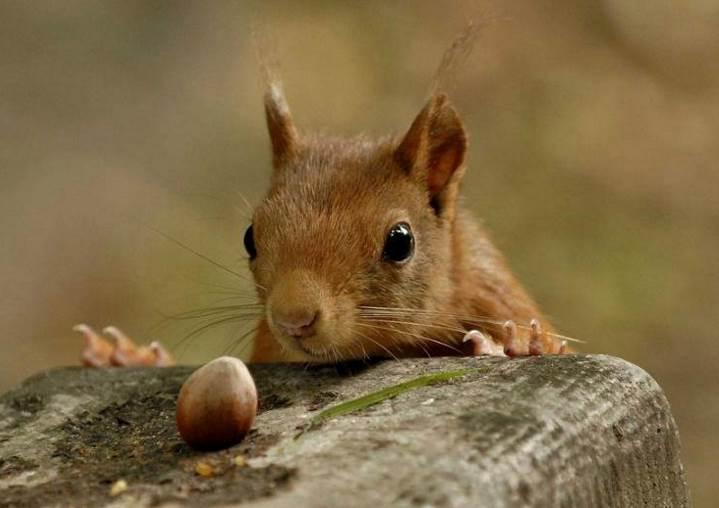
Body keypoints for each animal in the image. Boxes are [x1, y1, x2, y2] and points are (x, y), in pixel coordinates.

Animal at [74, 26, 568, 366]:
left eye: (400, 241)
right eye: (249, 237)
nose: (293, 319)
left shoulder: (493, 294)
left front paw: (525, 343)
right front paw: (127, 357)